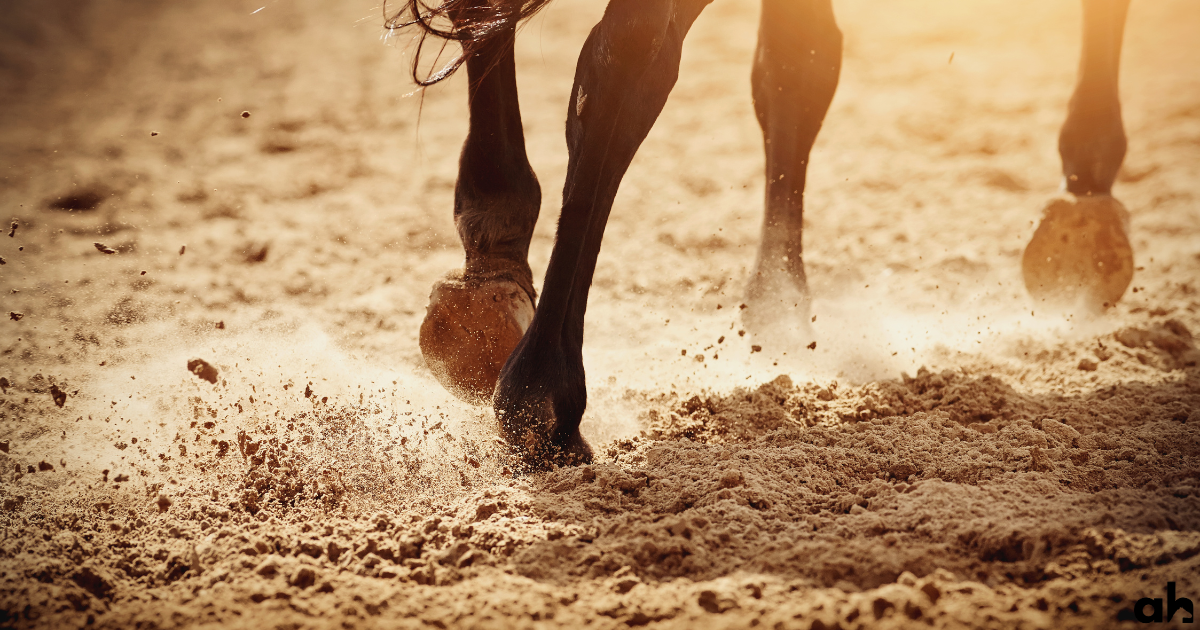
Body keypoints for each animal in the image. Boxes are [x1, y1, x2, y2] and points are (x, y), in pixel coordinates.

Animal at [401, 0, 1136, 471]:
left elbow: (796, 60)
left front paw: (779, 306)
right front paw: (1087, 204)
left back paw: (488, 280)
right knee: (628, 58)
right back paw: (543, 404)